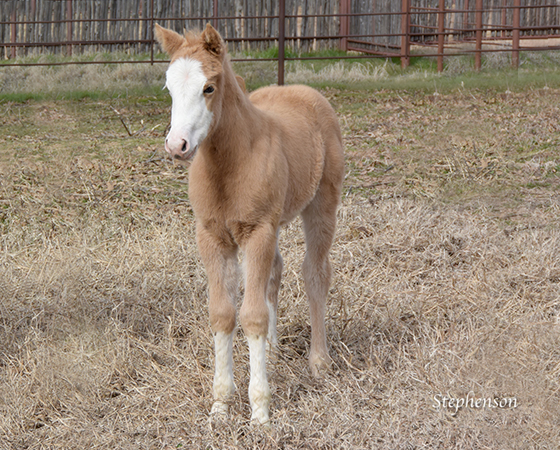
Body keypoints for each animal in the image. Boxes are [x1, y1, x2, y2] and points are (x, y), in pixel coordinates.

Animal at [155, 23, 344, 426]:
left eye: (209, 87)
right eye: (168, 87)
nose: (177, 146)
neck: (229, 165)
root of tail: (301, 90)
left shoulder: (258, 231)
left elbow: (252, 315)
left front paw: (259, 411)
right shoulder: (213, 236)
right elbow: (223, 314)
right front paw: (220, 406)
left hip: (321, 204)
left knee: (315, 273)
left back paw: (319, 361)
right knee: (276, 270)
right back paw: (272, 350)